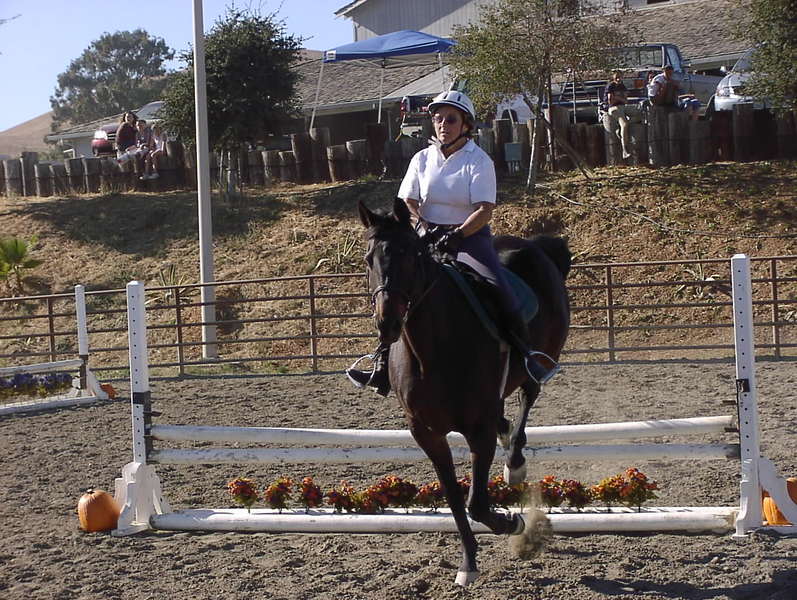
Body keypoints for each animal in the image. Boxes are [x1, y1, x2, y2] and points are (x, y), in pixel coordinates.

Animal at [357, 198, 571, 586]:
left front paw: (513, 523)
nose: (387, 323)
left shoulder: (477, 429)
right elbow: (456, 498)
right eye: (369, 258)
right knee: (507, 416)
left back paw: (514, 464)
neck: (432, 350)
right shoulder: (426, 432)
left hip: (539, 359)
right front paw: (468, 561)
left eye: (410, 254)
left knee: (527, 397)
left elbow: (477, 503)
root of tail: (537, 246)